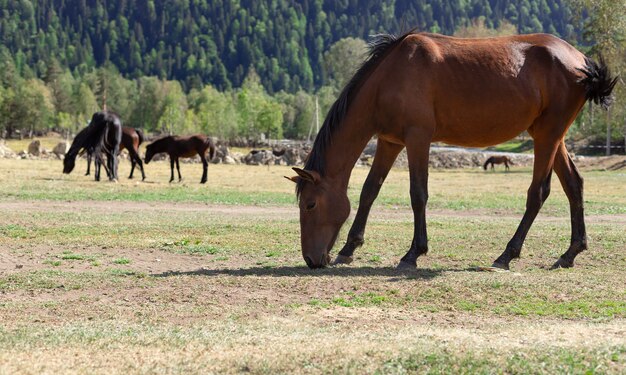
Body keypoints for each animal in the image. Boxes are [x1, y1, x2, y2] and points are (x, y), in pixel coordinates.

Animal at [286, 29, 616, 270]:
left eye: (310, 205)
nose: (311, 260)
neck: (390, 76)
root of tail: (581, 61)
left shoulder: (418, 138)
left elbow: (418, 194)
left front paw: (413, 254)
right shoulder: (390, 141)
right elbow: (370, 191)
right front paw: (348, 248)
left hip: (547, 136)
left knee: (539, 192)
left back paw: (506, 255)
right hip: (551, 136)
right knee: (574, 185)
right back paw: (570, 253)